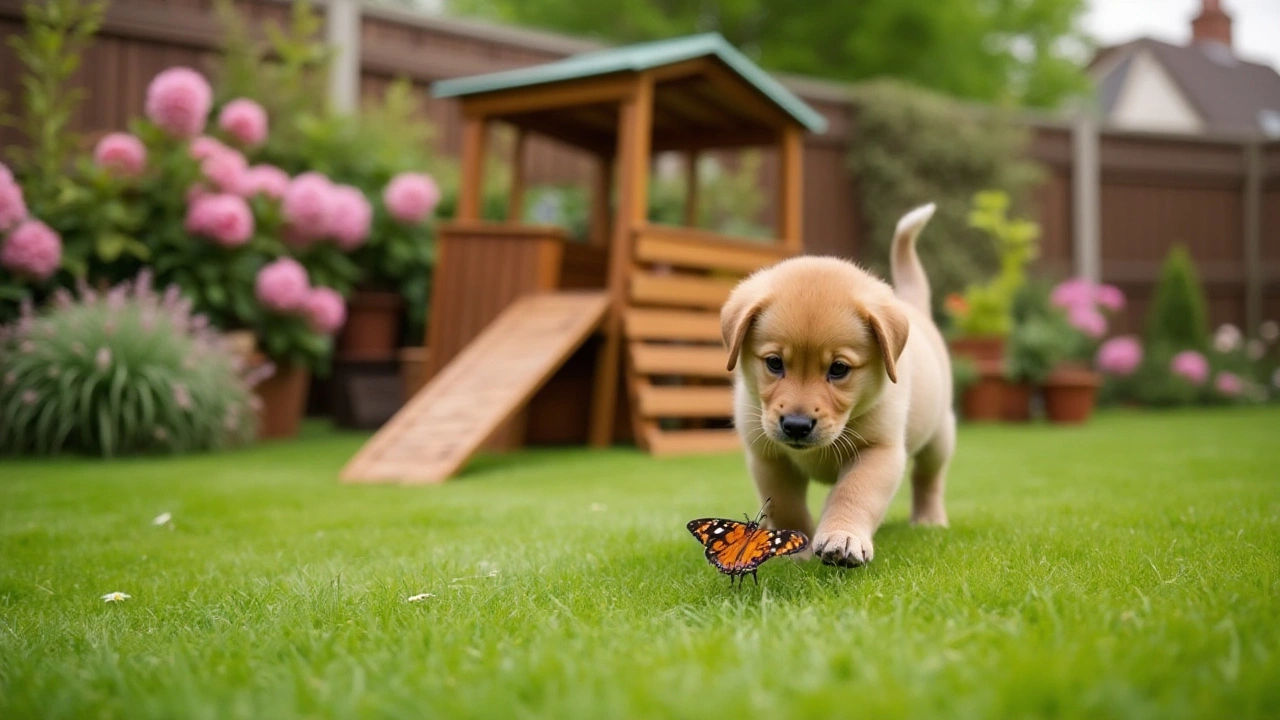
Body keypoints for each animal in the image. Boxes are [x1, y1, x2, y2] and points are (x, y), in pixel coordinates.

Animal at [721, 203, 952, 566]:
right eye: (774, 363)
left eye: (839, 369)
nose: (796, 425)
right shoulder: (768, 456)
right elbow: (785, 502)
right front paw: (793, 547)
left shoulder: (879, 450)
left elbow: (853, 493)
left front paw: (843, 536)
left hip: (939, 435)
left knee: (928, 479)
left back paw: (929, 519)